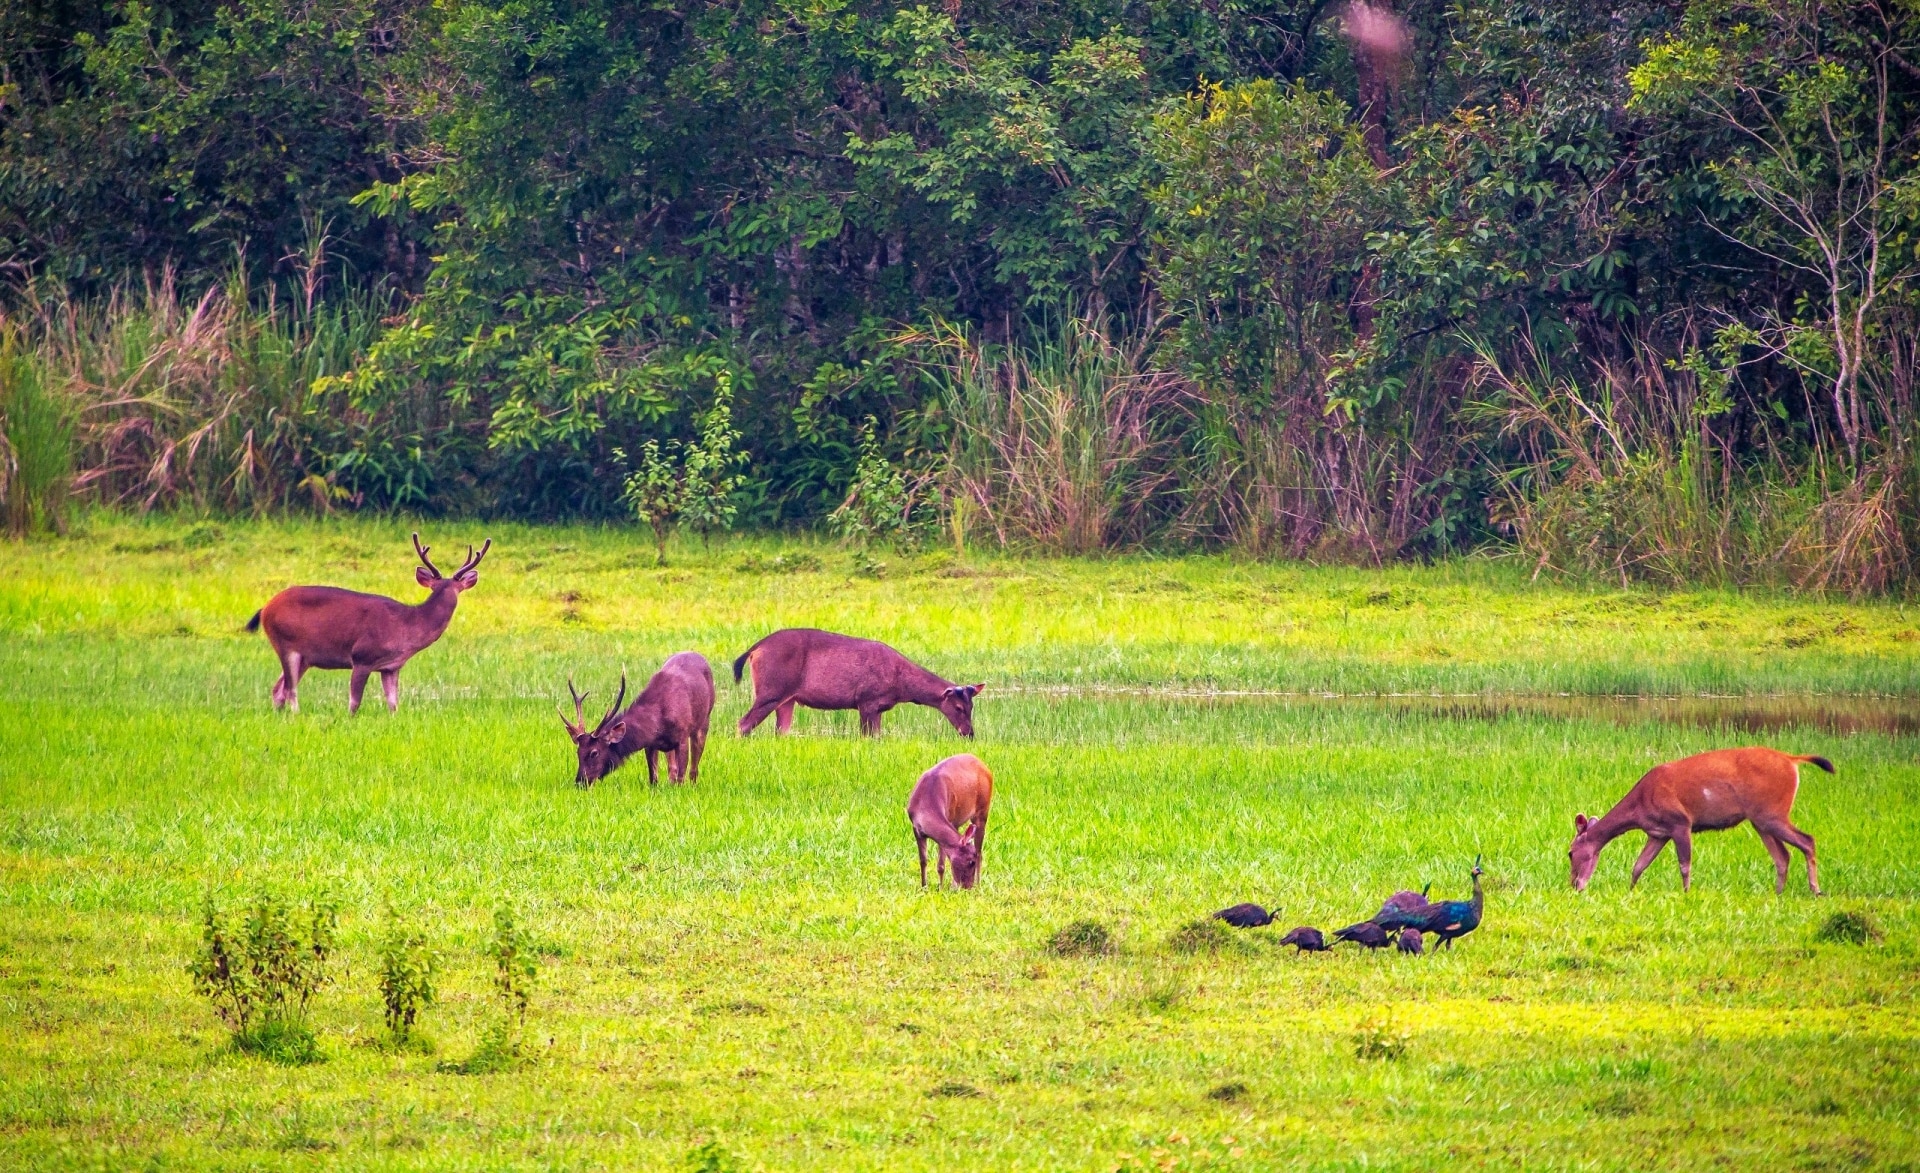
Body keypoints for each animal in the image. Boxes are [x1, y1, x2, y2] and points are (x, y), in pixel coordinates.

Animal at [243, 533, 487, 714]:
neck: (408, 625)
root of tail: (265, 608)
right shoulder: (362, 656)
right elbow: (354, 702)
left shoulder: (391, 667)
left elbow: (393, 704)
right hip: (285, 642)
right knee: (290, 689)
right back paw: (296, 715)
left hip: (304, 657)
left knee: (279, 689)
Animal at [564, 652, 721, 790]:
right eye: (578, 752)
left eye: (594, 752)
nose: (580, 782)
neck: (658, 722)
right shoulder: (650, 744)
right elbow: (653, 778)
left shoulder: (682, 736)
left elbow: (681, 777)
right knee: (672, 767)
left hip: (704, 721)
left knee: (694, 767)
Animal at [725, 629, 983, 737]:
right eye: (958, 708)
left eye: (972, 707)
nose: (969, 733)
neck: (901, 686)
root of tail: (754, 650)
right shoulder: (866, 700)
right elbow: (866, 737)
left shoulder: (878, 708)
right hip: (771, 688)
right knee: (743, 723)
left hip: (787, 698)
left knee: (782, 731)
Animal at [902, 752, 990, 890]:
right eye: (971, 861)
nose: (968, 887)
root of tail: (984, 766)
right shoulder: (916, 828)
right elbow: (923, 861)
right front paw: (924, 887)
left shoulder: (948, 816)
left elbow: (941, 865)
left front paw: (940, 888)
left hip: (983, 810)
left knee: (980, 851)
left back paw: (978, 884)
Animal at [1559, 748, 1827, 894]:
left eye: (1570, 852)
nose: (1574, 885)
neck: (1640, 805)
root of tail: (1792, 760)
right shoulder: (1658, 833)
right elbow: (1638, 866)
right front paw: (1630, 892)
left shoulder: (1680, 822)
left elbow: (1684, 864)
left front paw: (1686, 892)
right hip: (1761, 819)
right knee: (1783, 855)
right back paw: (1778, 893)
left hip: (1772, 812)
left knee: (1807, 840)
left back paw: (1815, 889)